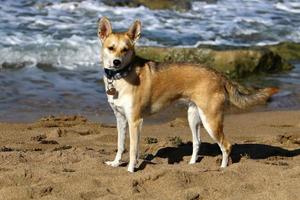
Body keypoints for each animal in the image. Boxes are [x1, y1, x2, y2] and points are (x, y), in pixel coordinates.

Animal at [97, 16, 278, 172]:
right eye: (111, 48)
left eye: (125, 50)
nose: (116, 62)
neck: (121, 76)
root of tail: (219, 75)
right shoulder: (121, 118)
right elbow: (121, 145)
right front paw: (115, 163)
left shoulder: (135, 121)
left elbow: (133, 149)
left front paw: (130, 170)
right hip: (193, 116)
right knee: (197, 142)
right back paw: (191, 165)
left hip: (211, 121)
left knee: (226, 146)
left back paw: (222, 169)